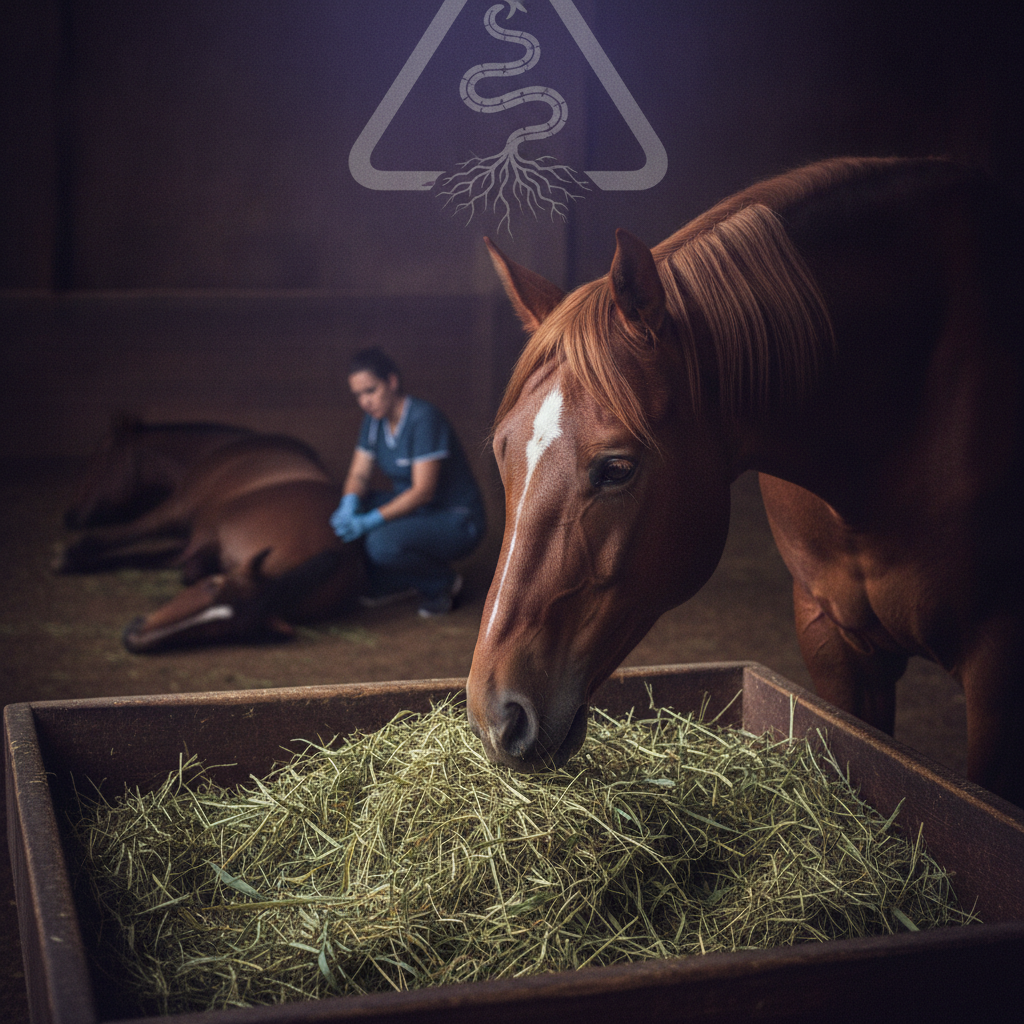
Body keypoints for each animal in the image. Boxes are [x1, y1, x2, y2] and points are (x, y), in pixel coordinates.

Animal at [58, 420, 364, 651]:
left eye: (100, 457)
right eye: (210, 585)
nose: (133, 638)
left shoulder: (177, 507)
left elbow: (125, 534)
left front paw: (70, 556)